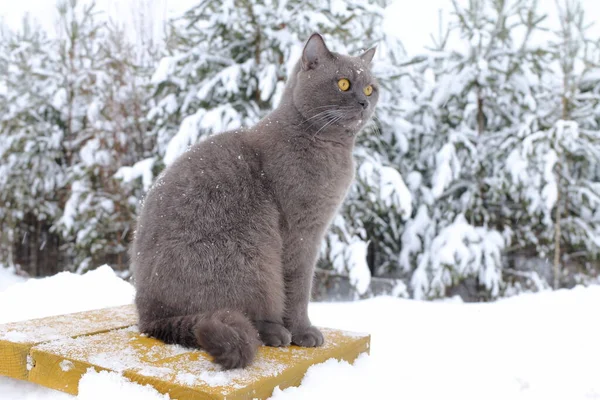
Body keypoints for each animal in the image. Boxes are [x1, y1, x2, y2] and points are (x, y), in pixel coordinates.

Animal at [131, 33, 378, 368]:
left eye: (370, 88)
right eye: (343, 84)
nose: (364, 102)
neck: (332, 148)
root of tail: (148, 316)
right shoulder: (302, 233)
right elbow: (299, 289)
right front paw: (304, 331)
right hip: (252, 258)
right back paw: (276, 333)